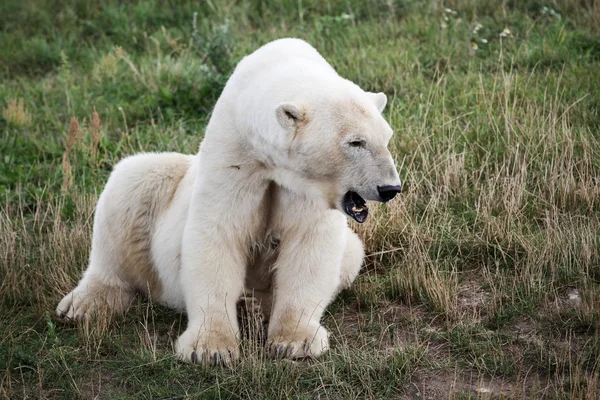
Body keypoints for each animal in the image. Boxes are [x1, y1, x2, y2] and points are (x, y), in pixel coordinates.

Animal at [57, 38, 404, 366]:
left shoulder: (301, 188)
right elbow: (218, 232)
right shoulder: (234, 155)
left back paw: (254, 304)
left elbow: (308, 241)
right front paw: (210, 349)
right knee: (132, 182)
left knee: (351, 252)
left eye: (386, 138)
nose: (390, 188)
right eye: (355, 142)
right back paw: (84, 303)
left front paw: (295, 341)